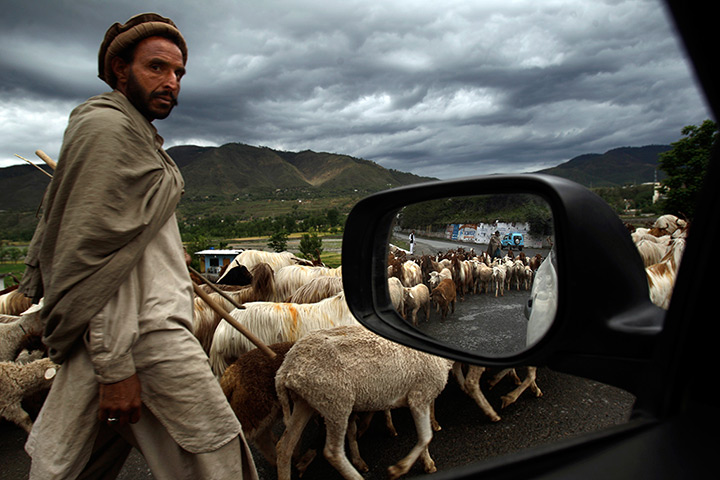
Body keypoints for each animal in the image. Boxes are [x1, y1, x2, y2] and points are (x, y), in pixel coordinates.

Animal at [272, 324, 452, 480]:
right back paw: (356, 476)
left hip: (307, 401)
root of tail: (286, 368)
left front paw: (427, 463)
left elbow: (424, 436)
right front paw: (399, 469)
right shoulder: (419, 396)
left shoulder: (421, 398)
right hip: (336, 402)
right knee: (332, 451)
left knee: (284, 447)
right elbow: (426, 436)